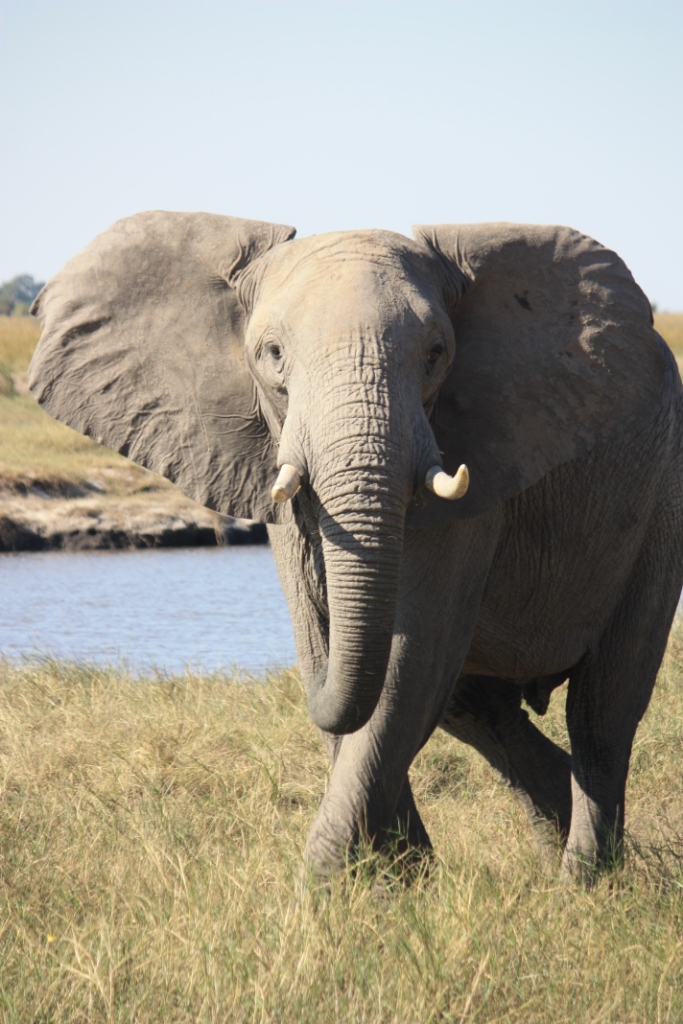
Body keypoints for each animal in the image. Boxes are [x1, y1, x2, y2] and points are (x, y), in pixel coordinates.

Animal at [28, 211, 683, 881]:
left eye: (436, 354)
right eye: (273, 355)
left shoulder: (473, 462)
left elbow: (410, 659)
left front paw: (320, 889)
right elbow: (348, 658)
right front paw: (396, 880)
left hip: (660, 499)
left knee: (603, 709)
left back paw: (584, 884)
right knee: (480, 710)